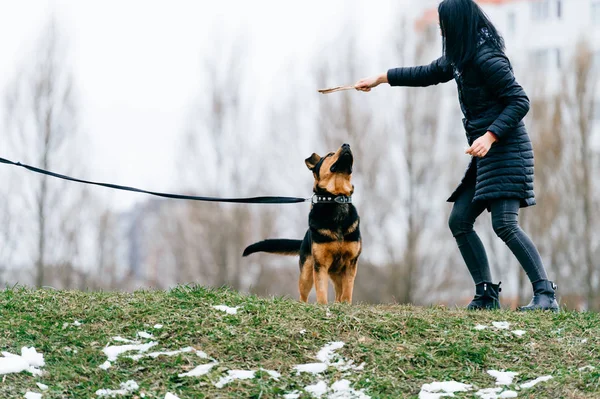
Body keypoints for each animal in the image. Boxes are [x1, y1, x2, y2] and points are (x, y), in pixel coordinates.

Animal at [243, 144, 360, 304]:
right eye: (329, 155)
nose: (346, 145)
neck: (336, 198)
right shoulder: (320, 265)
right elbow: (321, 291)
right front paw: (322, 305)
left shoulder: (350, 263)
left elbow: (347, 291)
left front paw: (345, 305)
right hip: (306, 273)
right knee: (303, 296)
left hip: (336, 273)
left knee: (339, 292)